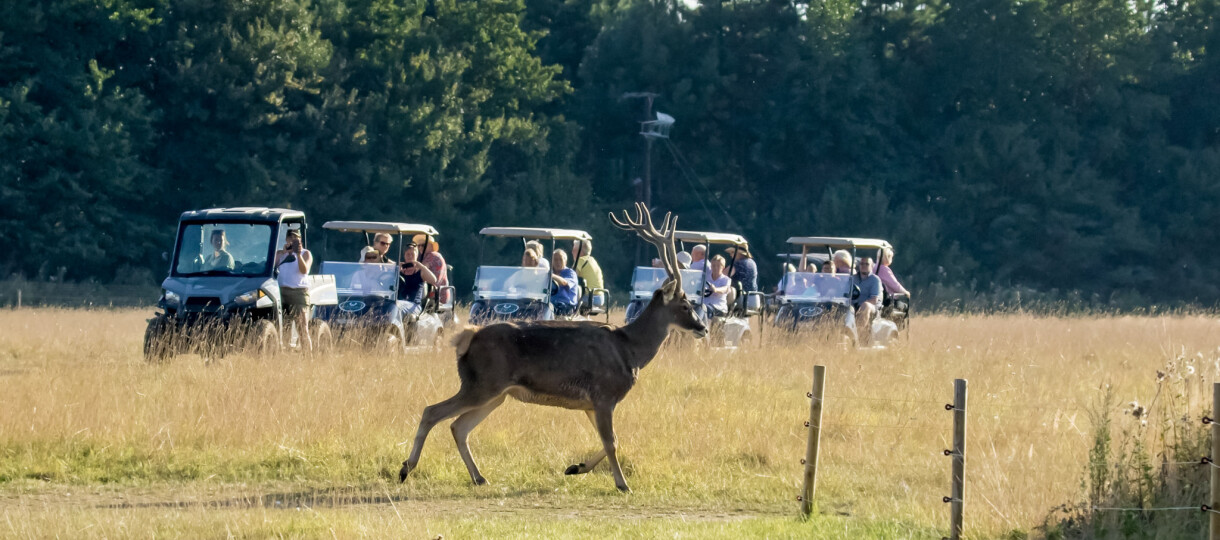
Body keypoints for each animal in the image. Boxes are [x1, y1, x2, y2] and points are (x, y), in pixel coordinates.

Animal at [397, 203, 707, 494]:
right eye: (685, 305)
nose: (702, 327)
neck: (630, 351)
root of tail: (465, 339)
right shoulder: (604, 394)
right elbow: (612, 442)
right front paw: (622, 484)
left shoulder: (591, 404)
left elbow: (611, 441)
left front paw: (575, 467)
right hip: (483, 383)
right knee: (432, 412)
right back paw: (406, 469)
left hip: (496, 393)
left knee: (458, 426)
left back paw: (479, 477)